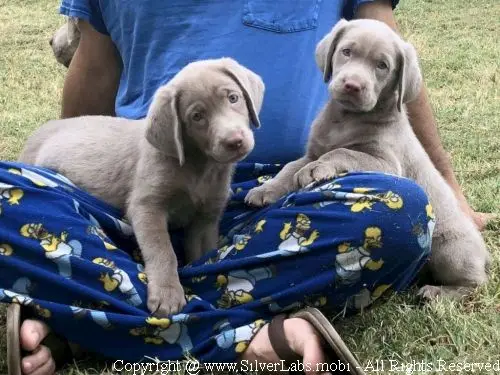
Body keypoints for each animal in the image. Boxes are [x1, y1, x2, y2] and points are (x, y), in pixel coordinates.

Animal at [18, 58, 266, 318]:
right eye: (197, 116)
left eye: (233, 98)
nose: (234, 141)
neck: (198, 167)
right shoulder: (146, 206)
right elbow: (162, 250)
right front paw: (167, 294)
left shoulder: (206, 217)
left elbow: (203, 253)